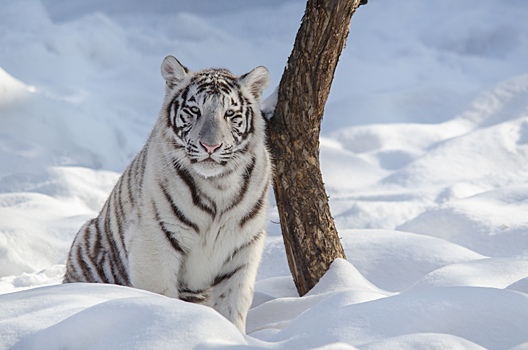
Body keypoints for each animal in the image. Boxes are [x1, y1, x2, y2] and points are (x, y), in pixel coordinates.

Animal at [64, 55, 272, 334]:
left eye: (229, 114)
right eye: (194, 111)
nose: (211, 146)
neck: (218, 185)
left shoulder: (242, 250)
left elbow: (233, 305)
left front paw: (233, 335)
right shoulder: (154, 241)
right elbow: (160, 294)